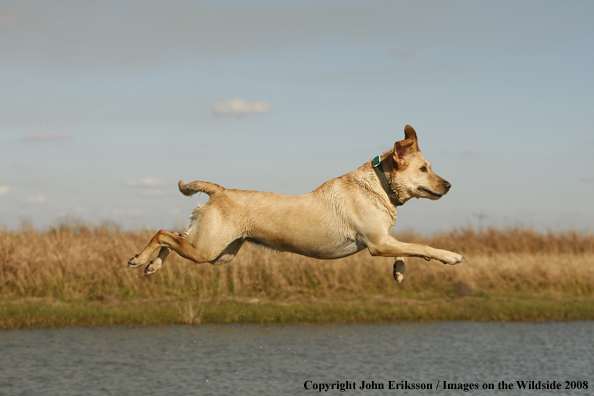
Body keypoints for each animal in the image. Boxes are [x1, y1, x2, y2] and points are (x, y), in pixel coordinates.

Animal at [128, 125, 462, 280]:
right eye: (424, 169)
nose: (448, 185)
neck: (379, 185)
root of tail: (219, 191)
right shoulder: (377, 243)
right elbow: (421, 247)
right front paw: (450, 256)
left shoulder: (383, 239)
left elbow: (407, 250)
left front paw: (399, 272)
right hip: (206, 248)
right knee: (162, 233)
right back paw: (140, 259)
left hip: (219, 252)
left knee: (174, 236)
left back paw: (153, 266)